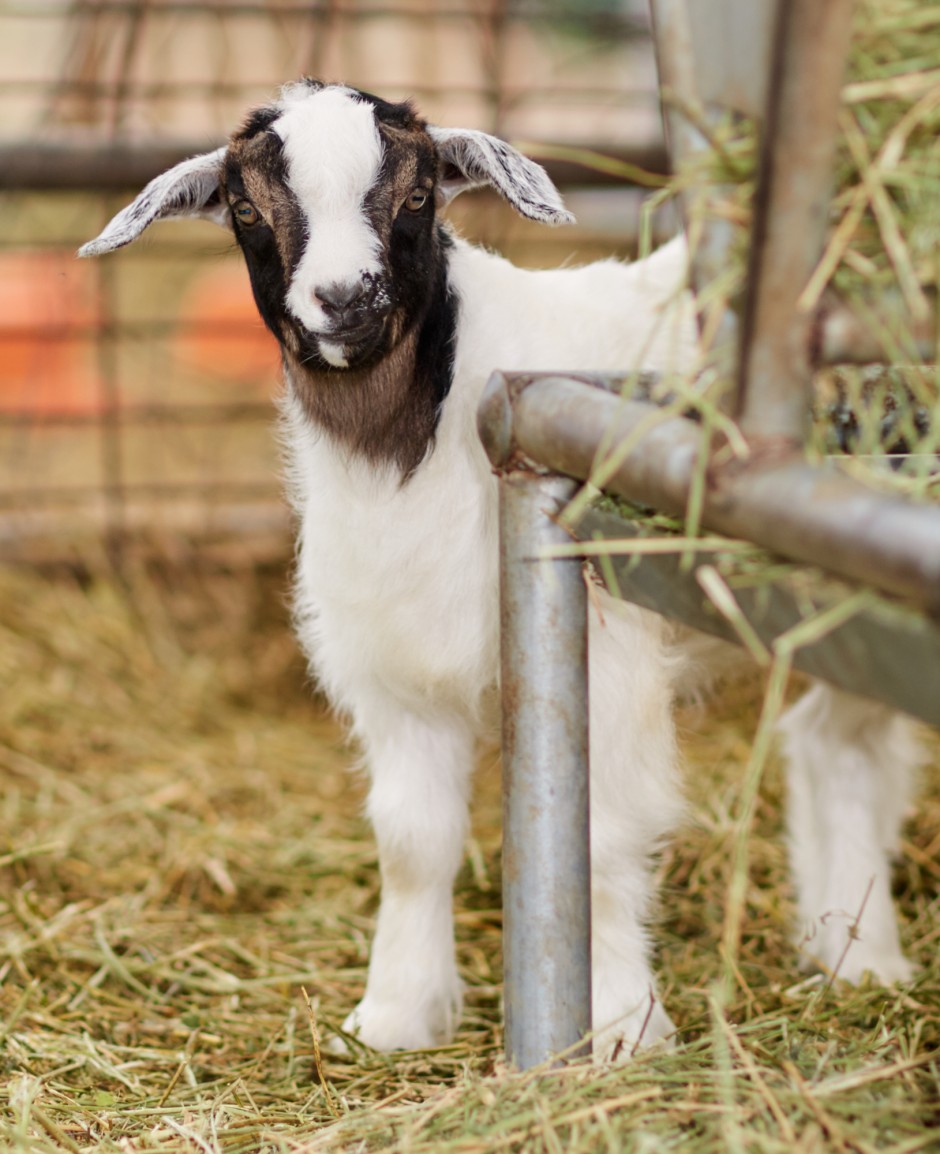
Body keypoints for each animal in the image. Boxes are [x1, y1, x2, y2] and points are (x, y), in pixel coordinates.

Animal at [80, 80, 922, 1058]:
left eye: (417, 195)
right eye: (247, 207)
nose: (347, 297)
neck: (418, 440)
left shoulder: (607, 654)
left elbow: (602, 837)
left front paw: (624, 1028)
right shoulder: (395, 670)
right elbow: (413, 843)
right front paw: (395, 1015)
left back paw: (863, 959)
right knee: (834, 742)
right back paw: (849, 952)